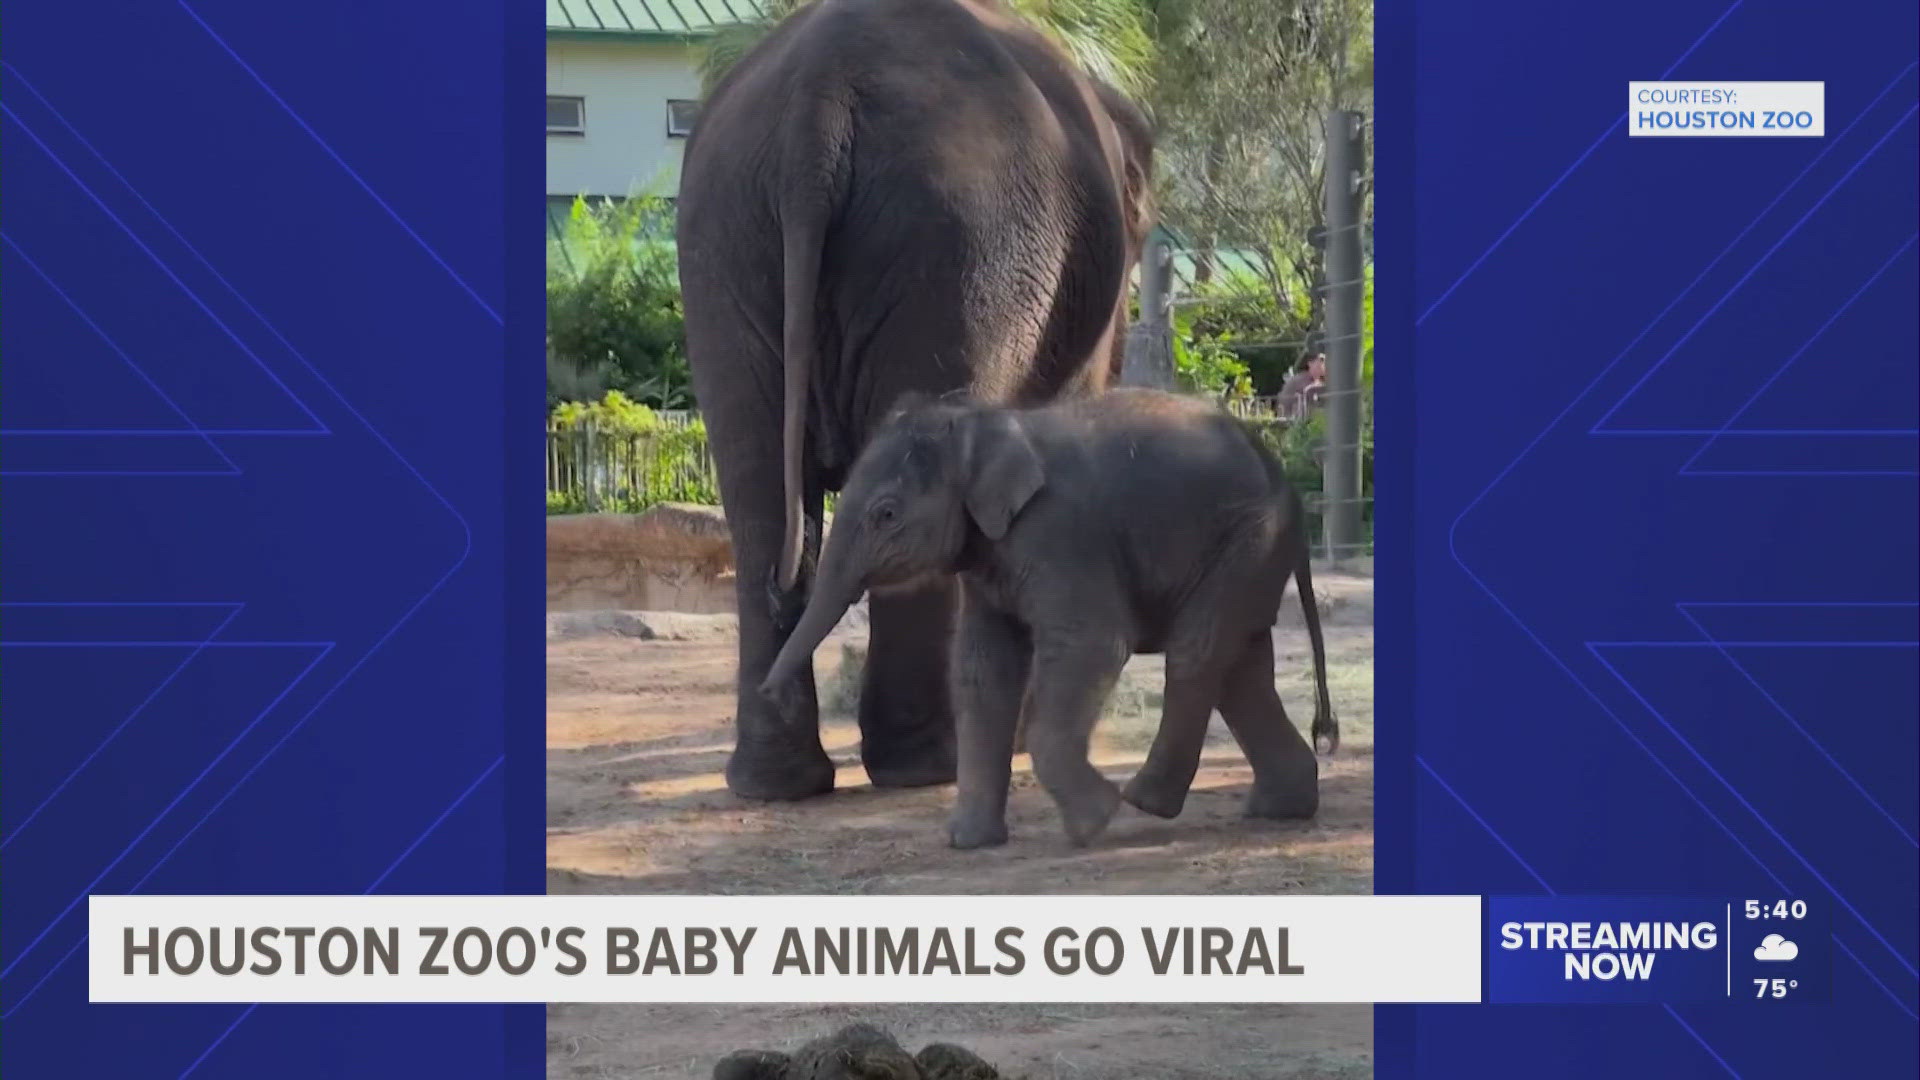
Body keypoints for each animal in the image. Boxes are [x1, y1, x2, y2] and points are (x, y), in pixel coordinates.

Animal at [679, 0, 1152, 799]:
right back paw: (927, 767)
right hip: (961, 241)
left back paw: (780, 783)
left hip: (728, 239)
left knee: (758, 500)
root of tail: (817, 99)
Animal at [764, 382, 1336, 845]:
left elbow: (1092, 643)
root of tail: (1282, 475)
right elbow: (981, 672)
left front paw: (1096, 823)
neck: (980, 424)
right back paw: (1276, 809)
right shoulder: (988, 557)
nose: (769, 693)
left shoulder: (1059, 531)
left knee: (1199, 652)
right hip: (1243, 550)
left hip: (1248, 538)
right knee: (1239, 669)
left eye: (886, 514)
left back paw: (1145, 802)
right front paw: (969, 843)